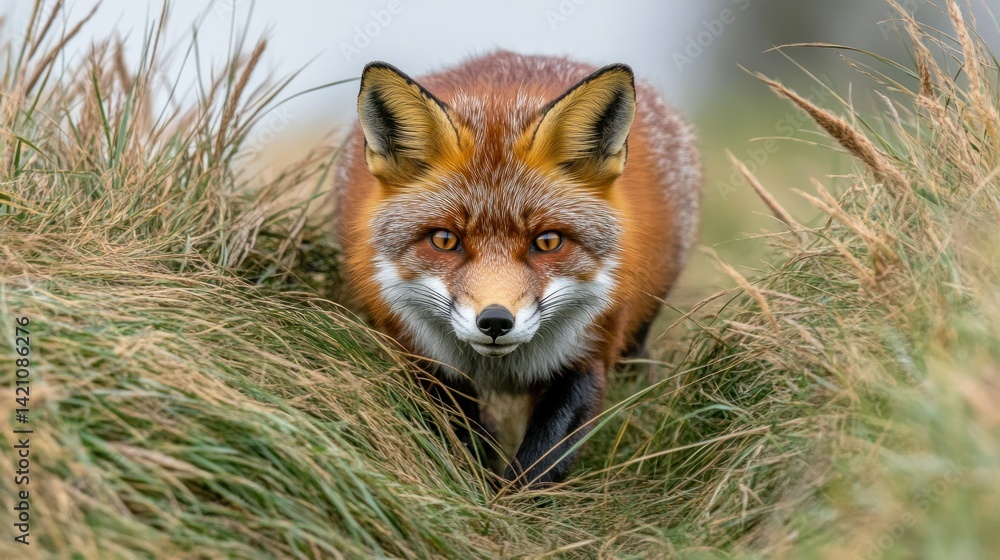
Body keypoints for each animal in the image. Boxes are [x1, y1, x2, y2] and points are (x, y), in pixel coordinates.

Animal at [333, 50, 700, 487]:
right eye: (444, 240)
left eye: (548, 242)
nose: (495, 321)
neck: (500, 369)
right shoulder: (424, 360)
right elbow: (462, 443)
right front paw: (477, 484)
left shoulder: (587, 354)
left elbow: (540, 463)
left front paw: (509, 498)